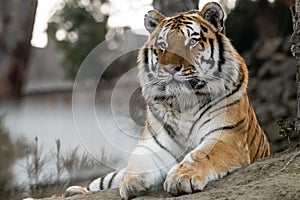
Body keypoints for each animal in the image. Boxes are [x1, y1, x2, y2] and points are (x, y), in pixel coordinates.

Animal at [65, 1, 270, 200]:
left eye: (192, 41)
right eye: (163, 45)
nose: (170, 68)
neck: (185, 103)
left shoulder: (225, 136)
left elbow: (200, 155)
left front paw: (182, 177)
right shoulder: (153, 143)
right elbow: (138, 162)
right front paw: (133, 182)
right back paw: (73, 191)